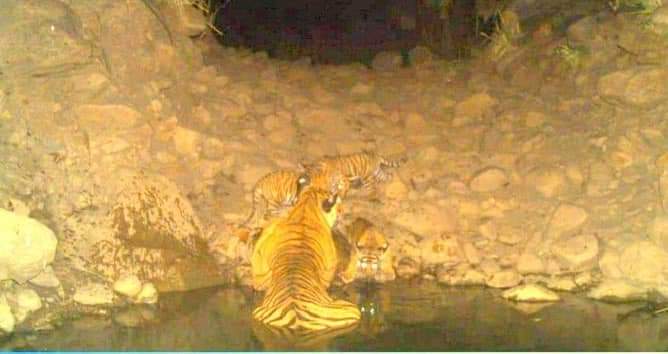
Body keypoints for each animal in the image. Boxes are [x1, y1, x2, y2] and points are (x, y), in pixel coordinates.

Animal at [250, 178, 362, 334]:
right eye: (338, 207)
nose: (343, 212)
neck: (306, 208)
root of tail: (297, 317)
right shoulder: (328, 270)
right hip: (352, 309)